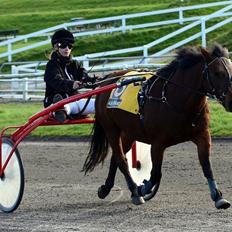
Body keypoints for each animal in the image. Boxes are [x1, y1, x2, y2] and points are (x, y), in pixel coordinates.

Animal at [82, 43, 232, 208]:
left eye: (231, 70)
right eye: (217, 73)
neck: (175, 99)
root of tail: (108, 79)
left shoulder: (202, 135)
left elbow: (207, 166)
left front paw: (218, 197)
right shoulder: (157, 143)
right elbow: (155, 174)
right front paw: (142, 188)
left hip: (129, 132)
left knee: (115, 158)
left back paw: (106, 189)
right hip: (111, 129)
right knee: (121, 160)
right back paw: (135, 192)